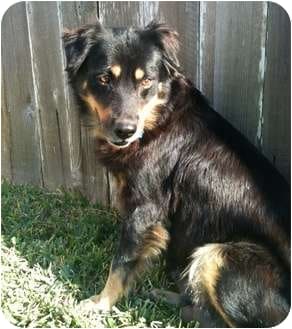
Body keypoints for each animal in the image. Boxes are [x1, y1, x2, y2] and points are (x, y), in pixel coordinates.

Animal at [63, 21, 290, 326]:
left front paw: (100, 303)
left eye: (146, 81)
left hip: (216, 254)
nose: (125, 131)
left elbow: (120, 263)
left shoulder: (145, 209)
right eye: (104, 78)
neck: (157, 119)